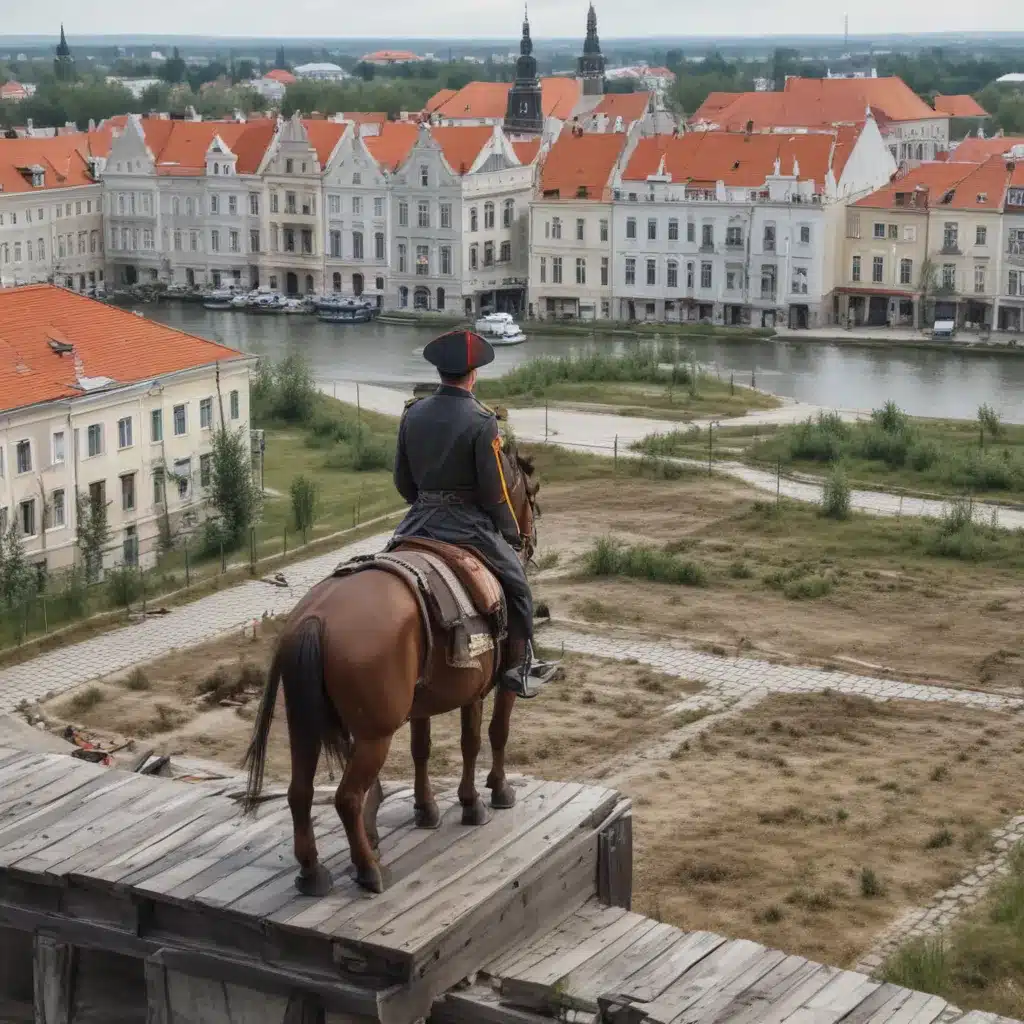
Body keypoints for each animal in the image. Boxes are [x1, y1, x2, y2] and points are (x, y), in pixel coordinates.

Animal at [242, 452, 540, 892]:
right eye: (531, 494)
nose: (528, 540)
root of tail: (315, 618)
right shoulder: (490, 689)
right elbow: (486, 737)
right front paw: (485, 797)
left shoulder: (422, 705)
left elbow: (422, 749)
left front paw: (427, 808)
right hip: (373, 738)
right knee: (346, 798)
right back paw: (369, 869)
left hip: (304, 729)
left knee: (300, 792)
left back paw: (313, 873)